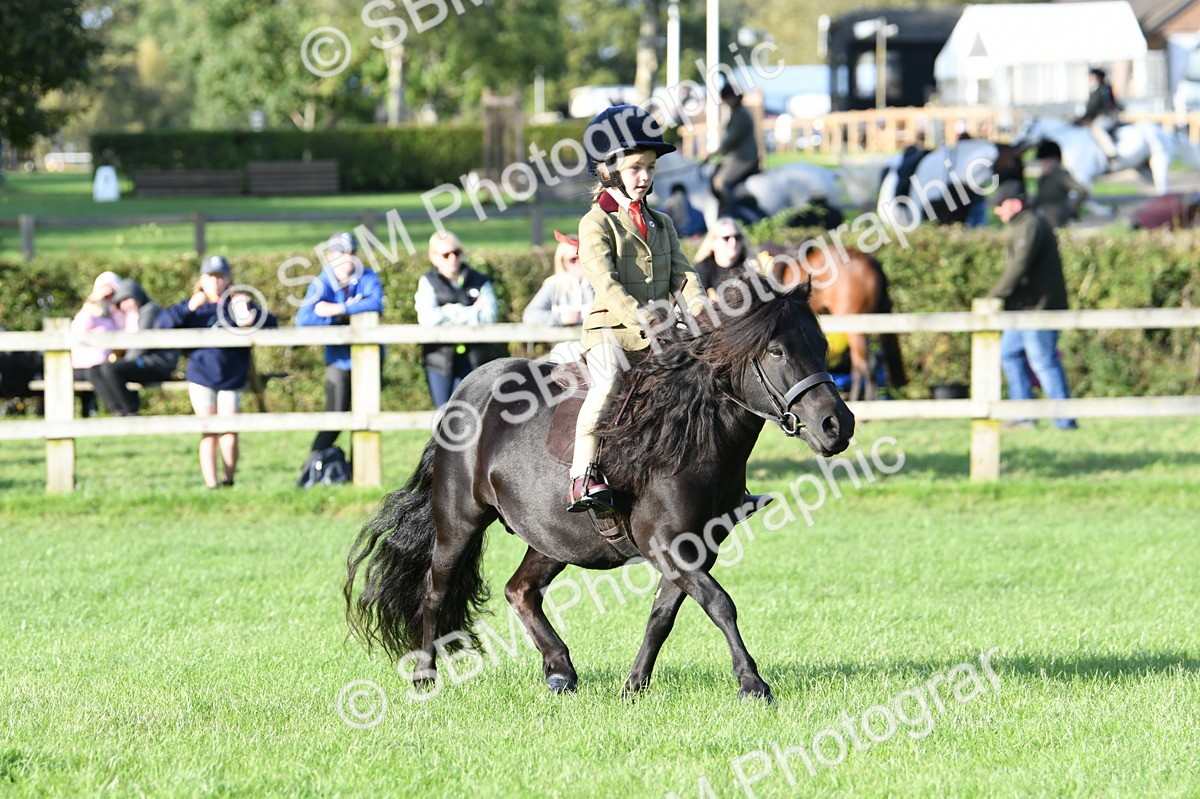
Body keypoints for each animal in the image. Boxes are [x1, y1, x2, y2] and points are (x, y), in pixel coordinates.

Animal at [344, 280, 855, 701]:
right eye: (776, 352)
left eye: (821, 345)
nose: (838, 425)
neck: (689, 430)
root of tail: (468, 388)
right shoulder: (668, 545)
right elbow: (720, 604)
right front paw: (752, 682)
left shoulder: (694, 548)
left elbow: (663, 615)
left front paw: (634, 685)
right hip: (458, 521)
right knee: (436, 590)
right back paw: (424, 677)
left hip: (551, 537)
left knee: (521, 591)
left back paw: (560, 671)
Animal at [1013, 115, 1175, 195]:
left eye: (1027, 128)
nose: (1015, 144)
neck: (1068, 142)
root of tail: (1163, 131)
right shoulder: (1075, 178)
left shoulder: (1083, 177)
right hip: (1143, 169)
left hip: (1158, 163)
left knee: (1163, 187)